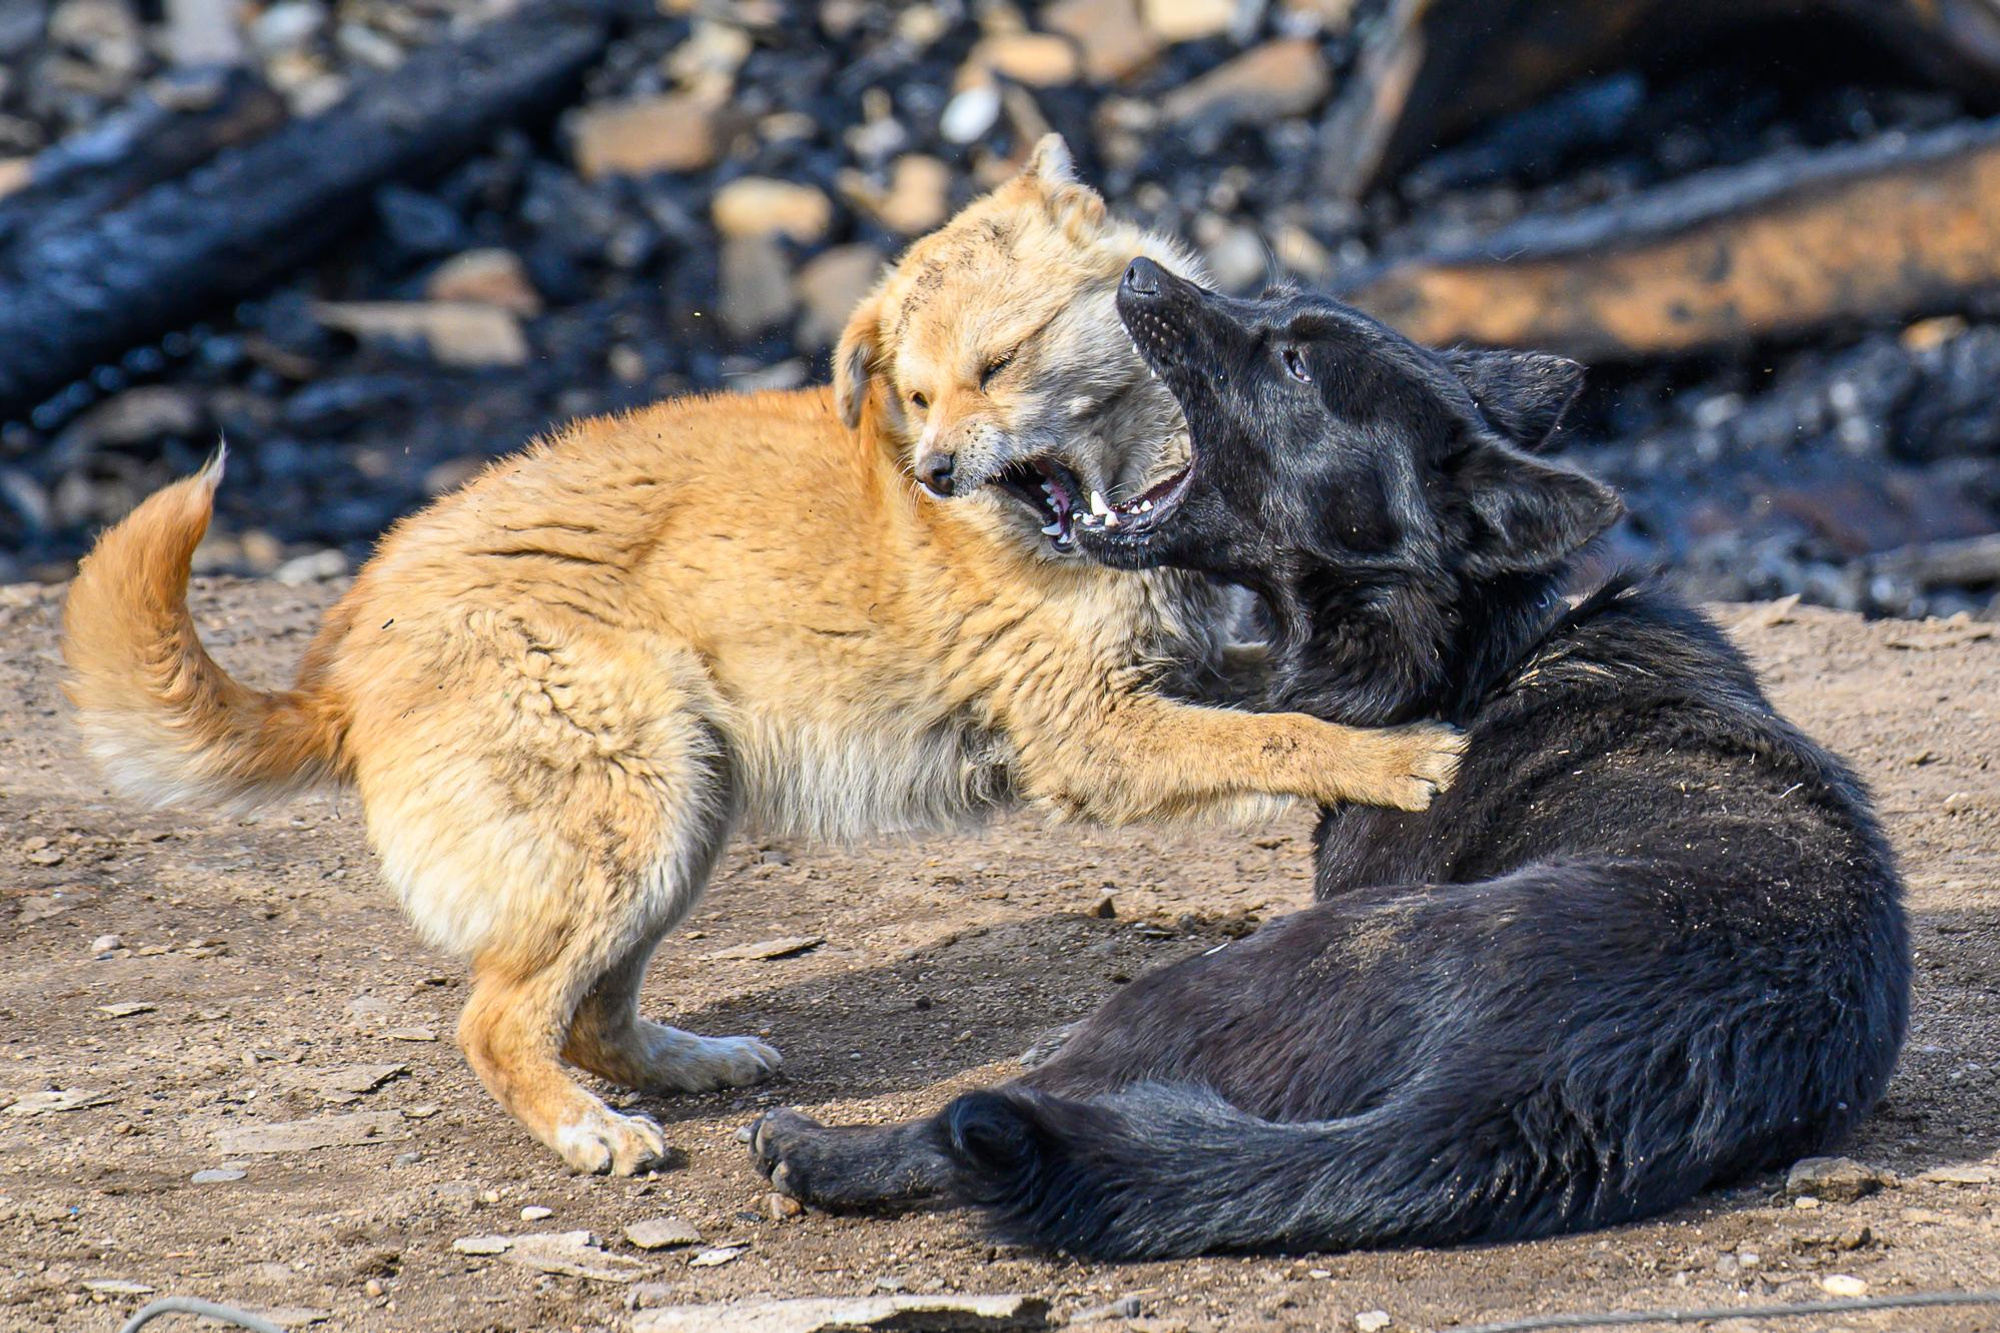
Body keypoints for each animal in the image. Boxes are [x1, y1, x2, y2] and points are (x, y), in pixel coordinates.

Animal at [66, 135, 1456, 1176]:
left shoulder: (1172, 682)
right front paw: (1397, 762)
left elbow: (1270, 712)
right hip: (630, 810)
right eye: (914, 394)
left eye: (998, 363)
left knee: (593, 1011)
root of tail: (338, 663)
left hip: (681, 810)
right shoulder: (1095, 736)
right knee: (498, 1021)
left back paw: (685, 1065)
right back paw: (588, 1132)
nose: (936, 473)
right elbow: (1277, 736)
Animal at [748, 256, 1904, 1256]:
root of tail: (1549, 1085)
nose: (1138, 273)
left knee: (1000, 1114)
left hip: (1228, 974)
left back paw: (828, 1151)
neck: (1476, 655)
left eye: (1297, 364)